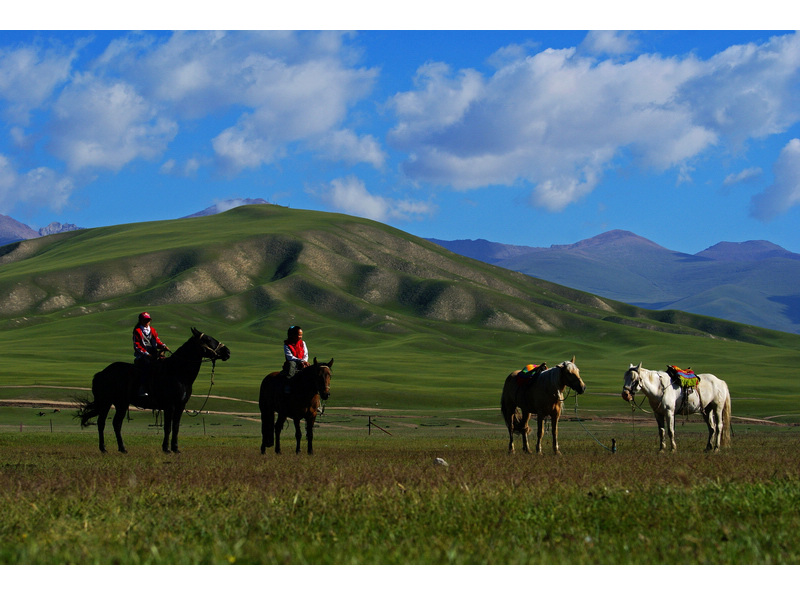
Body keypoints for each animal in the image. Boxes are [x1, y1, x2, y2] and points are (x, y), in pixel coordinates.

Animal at [75, 328, 230, 454]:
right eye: (207, 339)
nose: (227, 352)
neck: (178, 372)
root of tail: (102, 373)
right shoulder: (169, 405)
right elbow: (167, 427)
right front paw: (166, 449)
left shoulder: (180, 406)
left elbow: (176, 427)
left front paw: (176, 448)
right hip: (106, 402)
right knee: (102, 422)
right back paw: (104, 448)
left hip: (121, 403)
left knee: (116, 424)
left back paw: (122, 448)